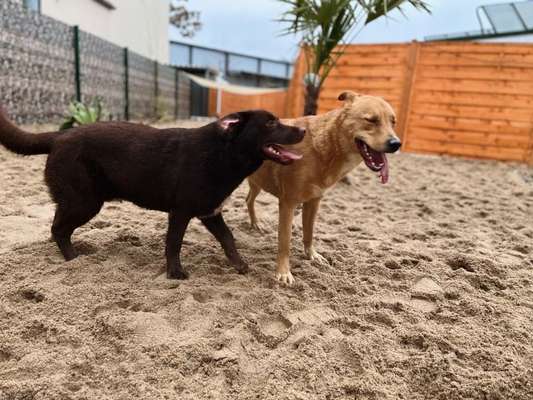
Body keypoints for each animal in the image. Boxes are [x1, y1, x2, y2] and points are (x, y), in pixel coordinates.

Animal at [245, 90, 400, 284]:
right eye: (371, 120)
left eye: (393, 122)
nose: (396, 144)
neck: (326, 147)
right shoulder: (288, 204)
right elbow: (285, 241)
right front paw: (283, 271)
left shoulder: (314, 201)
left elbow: (309, 232)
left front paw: (312, 255)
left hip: (257, 182)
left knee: (248, 200)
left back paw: (255, 223)